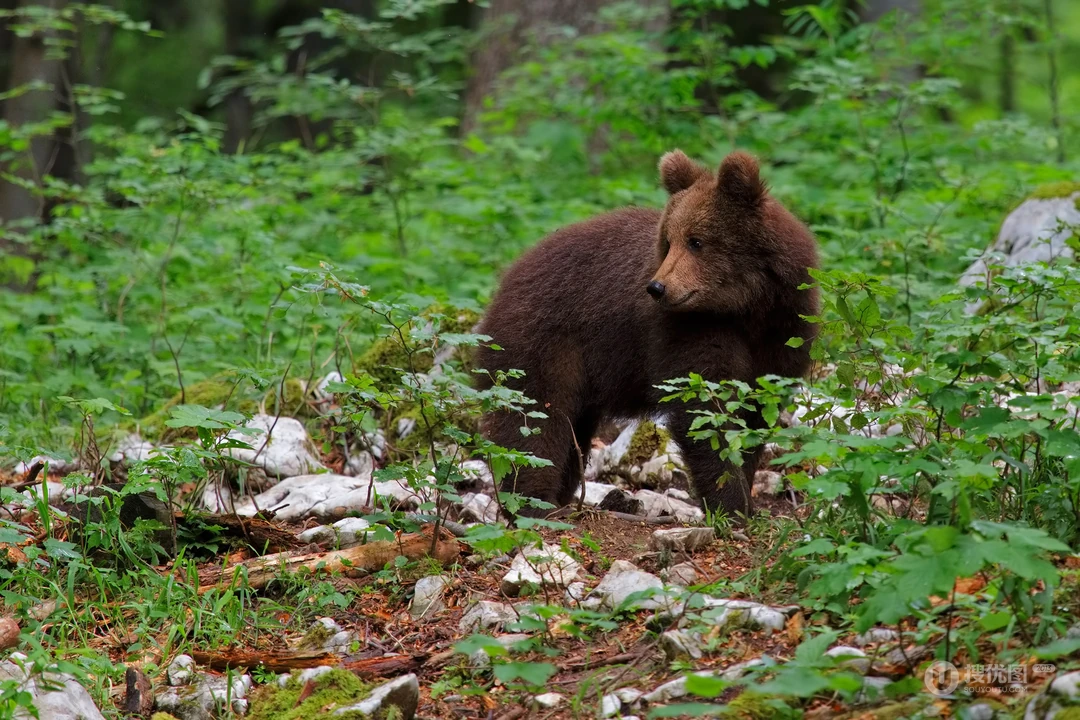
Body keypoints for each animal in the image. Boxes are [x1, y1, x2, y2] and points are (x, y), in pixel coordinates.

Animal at [473, 149, 820, 519]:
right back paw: (534, 504)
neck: (747, 308)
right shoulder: (687, 331)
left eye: (696, 241)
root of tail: (509, 276)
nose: (657, 287)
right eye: (669, 241)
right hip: (543, 341)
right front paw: (731, 504)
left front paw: (748, 499)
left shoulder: (784, 332)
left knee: (571, 428)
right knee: (534, 417)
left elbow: (756, 412)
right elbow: (704, 412)